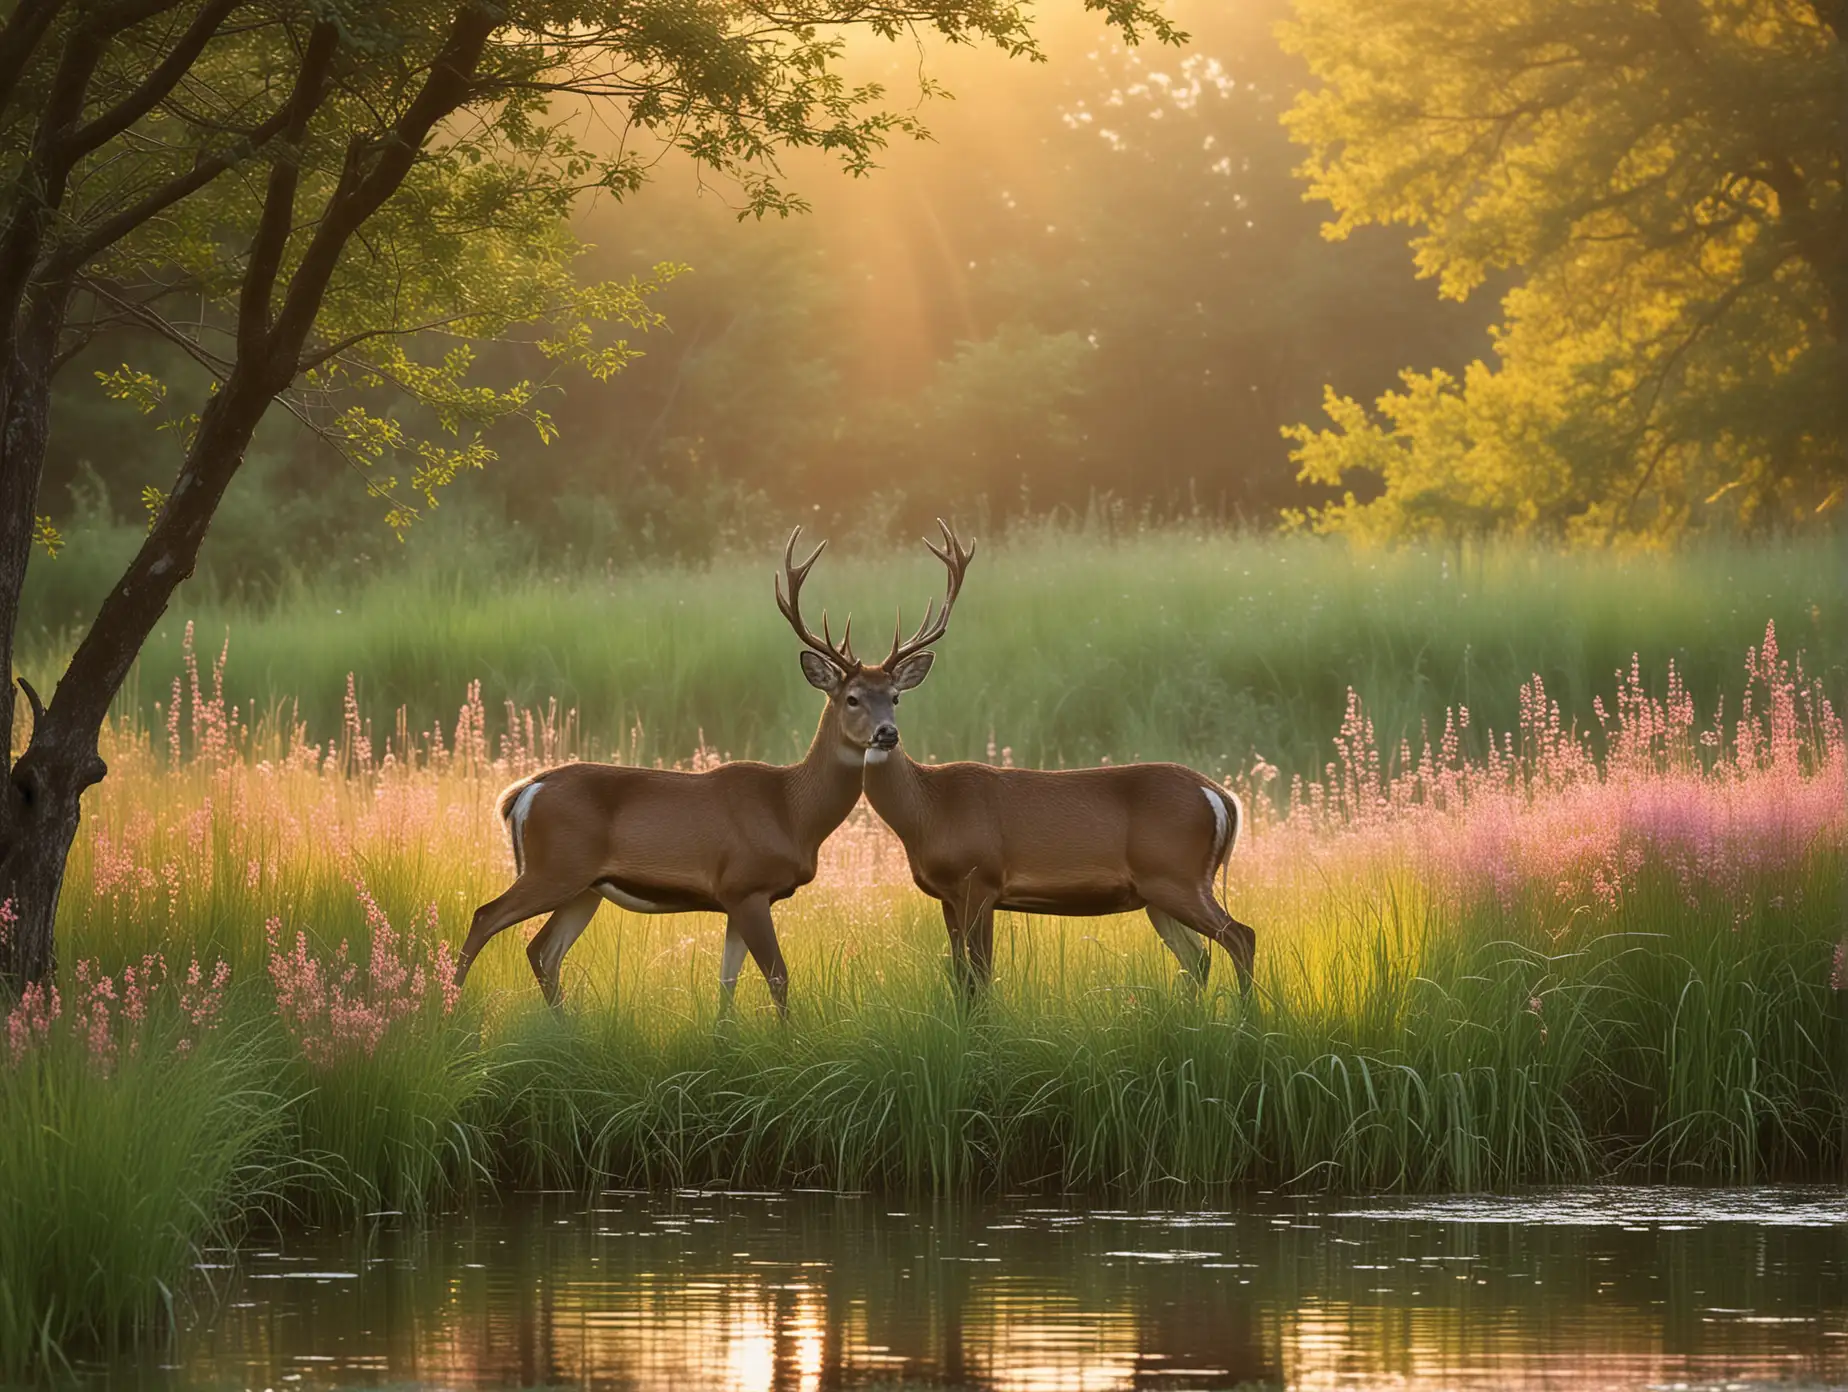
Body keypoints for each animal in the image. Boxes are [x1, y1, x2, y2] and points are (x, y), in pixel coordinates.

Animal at [458, 528, 890, 1013]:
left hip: (585, 887)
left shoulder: (735, 899)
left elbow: (727, 981)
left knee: (541, 950)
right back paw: (446, 1008)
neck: (793, 811)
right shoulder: (746, 885)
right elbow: (778, 978)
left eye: (895, 696)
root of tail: (525, 792)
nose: (887, 734)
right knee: (485, 917)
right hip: (555, 868)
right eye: (852, 697)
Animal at [850, 517, 1256, 990]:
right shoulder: (947, 895)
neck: (927, 810)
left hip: (1177, 875)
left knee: (1240, 936)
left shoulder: (979, 880)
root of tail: (1221, 796)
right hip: (1158, 892)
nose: (885, 735)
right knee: (1198, 958)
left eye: (895, 697)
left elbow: (981, 975)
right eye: (850, 698)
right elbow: (960, 978)